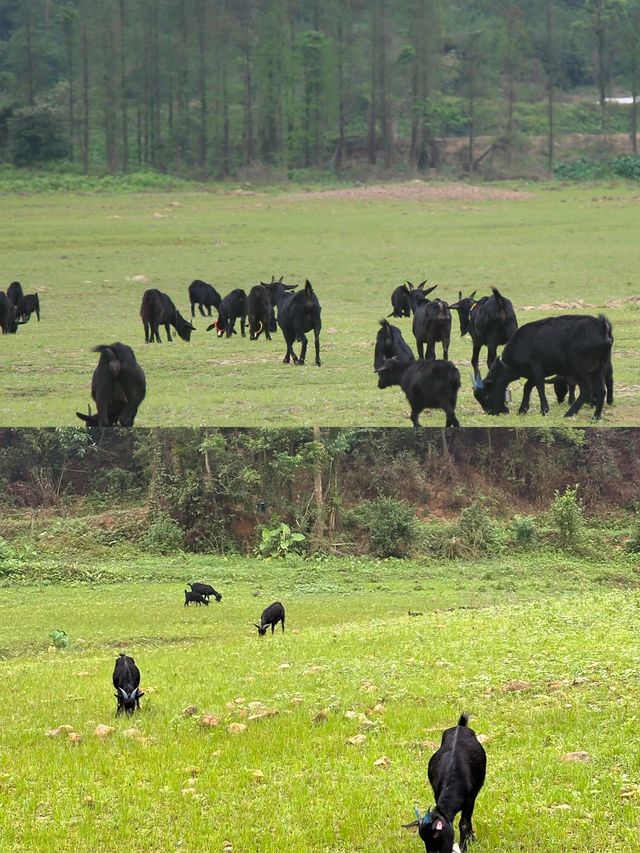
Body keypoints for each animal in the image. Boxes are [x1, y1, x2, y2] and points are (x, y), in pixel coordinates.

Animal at [404, 712, 490, 852]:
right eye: (423, 839)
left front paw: (465, 846)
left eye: (436, 835)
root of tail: (460, 726)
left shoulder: (470, 799)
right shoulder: (436, 793)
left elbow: (464, 824)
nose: (433, 852)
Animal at [472, 312, 612, 420]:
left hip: (581, 371)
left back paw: (570, 413)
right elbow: (527, 387)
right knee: (601, 390)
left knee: (586, 390)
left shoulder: (537, 369)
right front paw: (522, 409)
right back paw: (596, 416)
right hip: (598, 369)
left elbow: (539, 387)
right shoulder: (532, 373)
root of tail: (602, 327)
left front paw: (544, 410)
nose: (491, 413)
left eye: (486, 395)